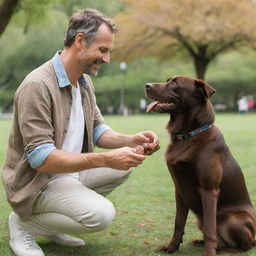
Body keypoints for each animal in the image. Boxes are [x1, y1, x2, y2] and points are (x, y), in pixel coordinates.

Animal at [146, 76, 256, 256]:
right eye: (168, 80)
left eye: (174, 83)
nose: (147, 85)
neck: (188, 136)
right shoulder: (179, 190)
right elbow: (178, 223)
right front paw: (171, 247)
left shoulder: (209, 190)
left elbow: (211, 229)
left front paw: (209, 253)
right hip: (199, 218)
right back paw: (201, 241)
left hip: (233, 219)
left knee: (245, 245)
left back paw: (224, 249)